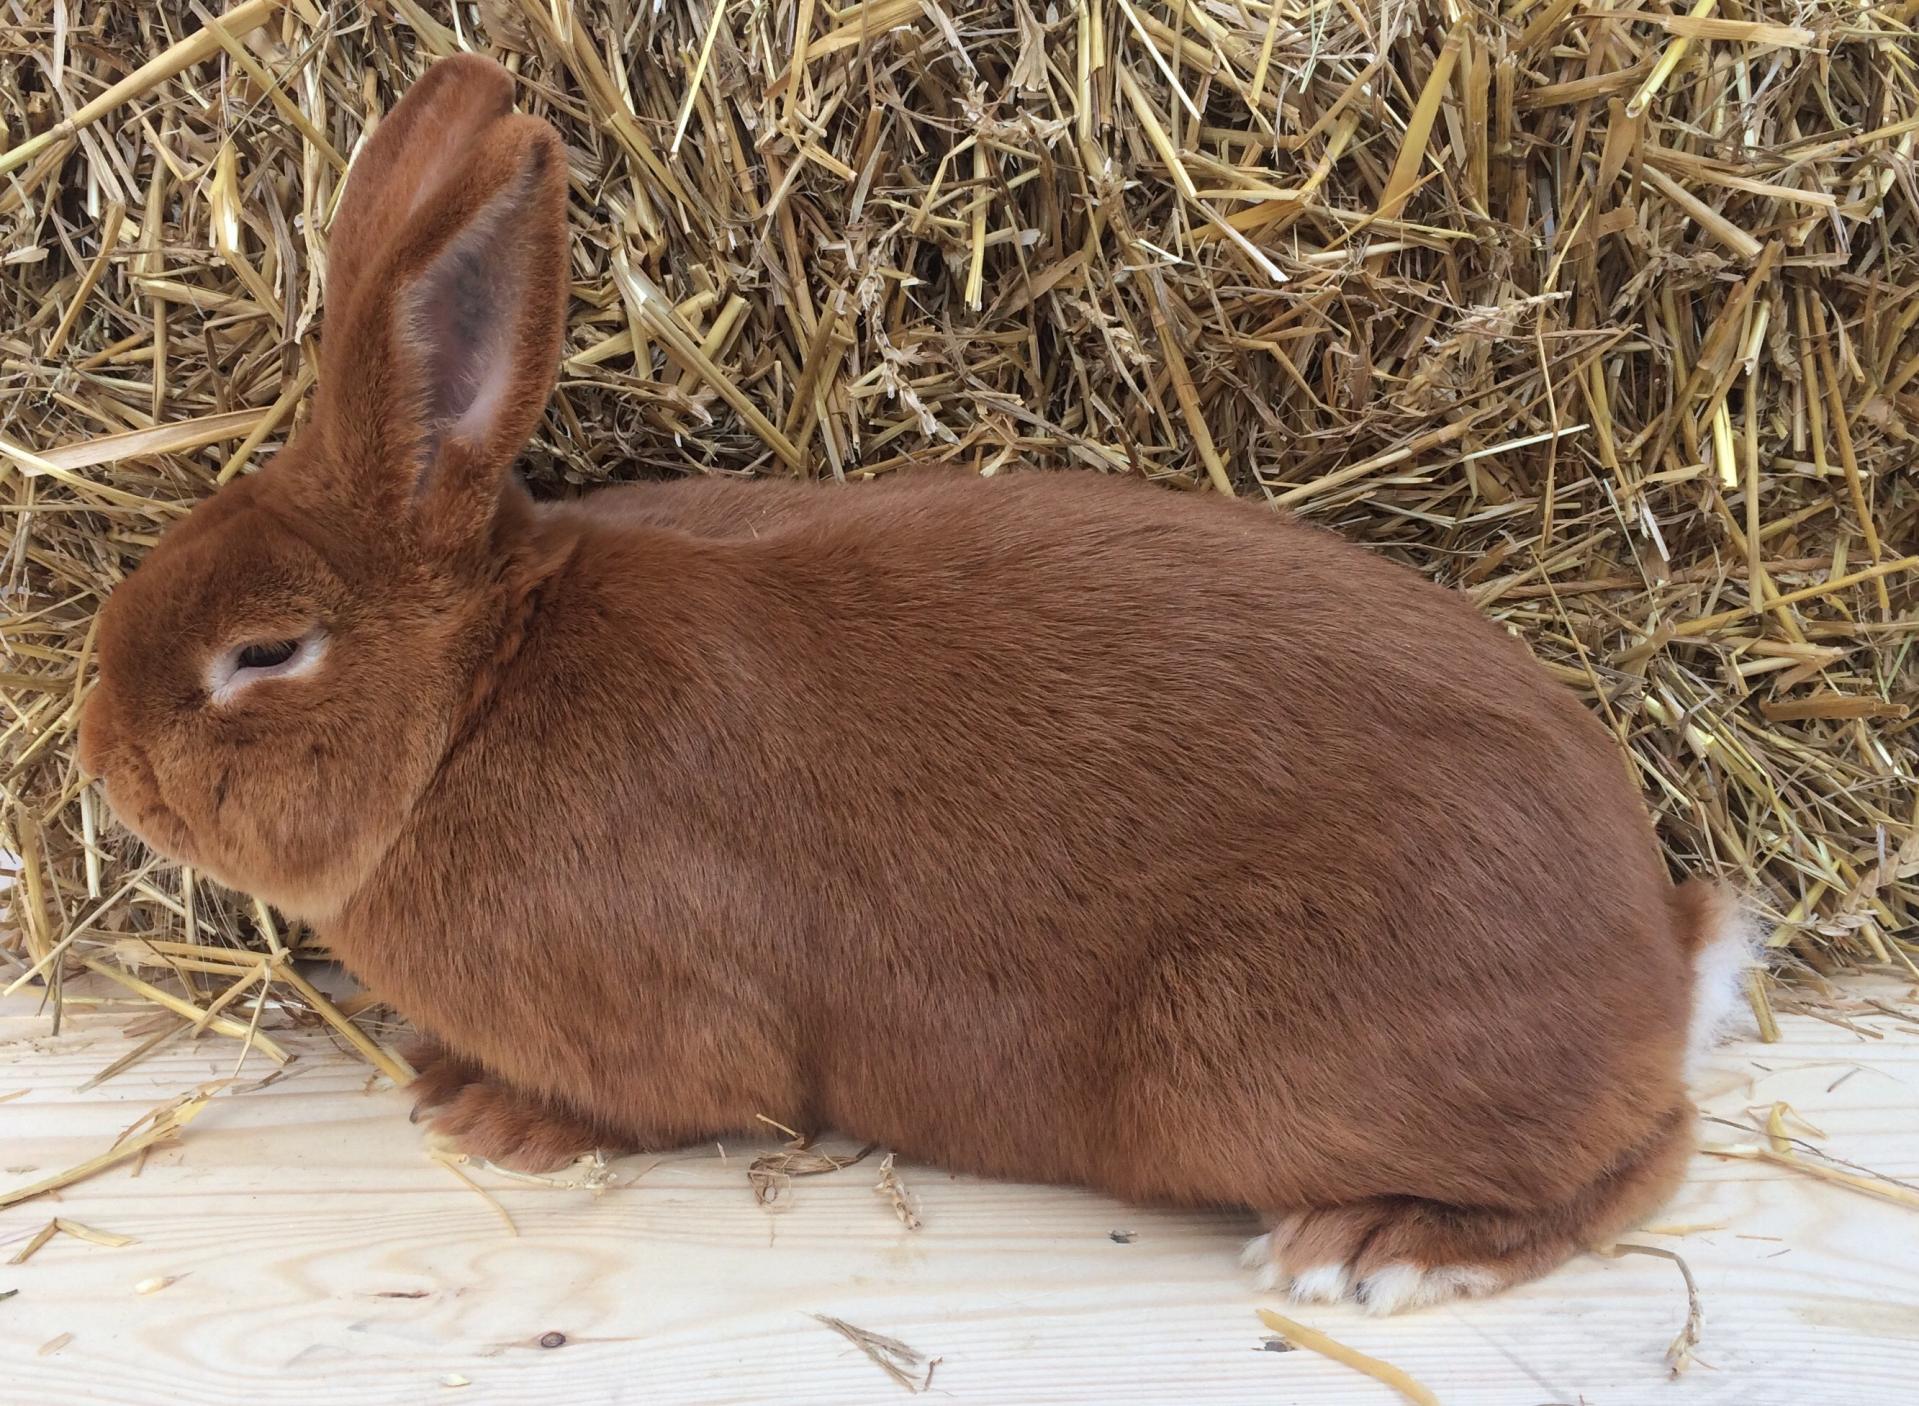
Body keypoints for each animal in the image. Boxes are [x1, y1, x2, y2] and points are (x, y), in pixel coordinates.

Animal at [78, 52, 1757, 1304]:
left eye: (263, 654)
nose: (99, 755)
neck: (469, 705)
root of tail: (1657, 950)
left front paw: (480, 1106)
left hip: (1250, 1062)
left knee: (1635, 1157)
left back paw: (1376, 1249)